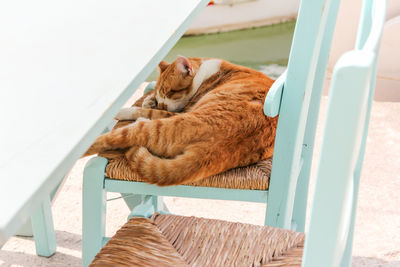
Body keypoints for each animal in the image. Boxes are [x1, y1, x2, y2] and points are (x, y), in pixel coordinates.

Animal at [84, 56, 278, 186]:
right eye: (161, 93)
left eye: (170, 92)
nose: (162, 103)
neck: (206, 71)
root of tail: (210, 150)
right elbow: (150, 102)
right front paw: (150, 100)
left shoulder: (178, 111)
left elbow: (149, 110)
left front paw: (129, 109)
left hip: (159, 126)